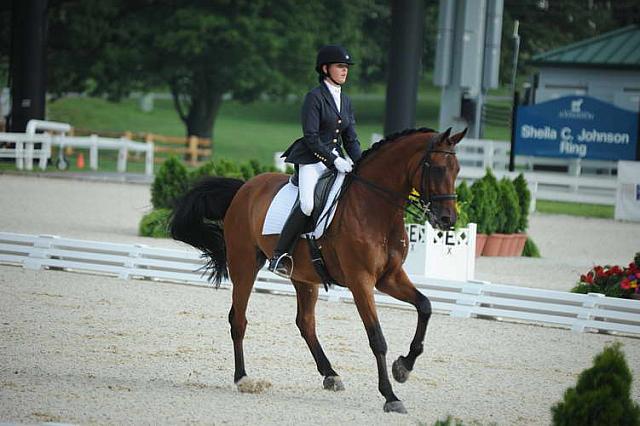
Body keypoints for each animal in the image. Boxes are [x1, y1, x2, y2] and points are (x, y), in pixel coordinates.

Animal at [171, 126, 464, 412]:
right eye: (438, 168)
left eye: (458, 170)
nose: (447, 220)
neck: (375, 208)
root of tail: (245, 188)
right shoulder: (360, 281)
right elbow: (376, 337)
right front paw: (390, 396)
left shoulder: (389, 277)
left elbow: (425, 306)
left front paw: (403, 367)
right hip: (244, 265)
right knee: (238, 319)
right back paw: (243, 378)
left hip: (303, 276)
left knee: (305, 322)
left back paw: (330, 374)